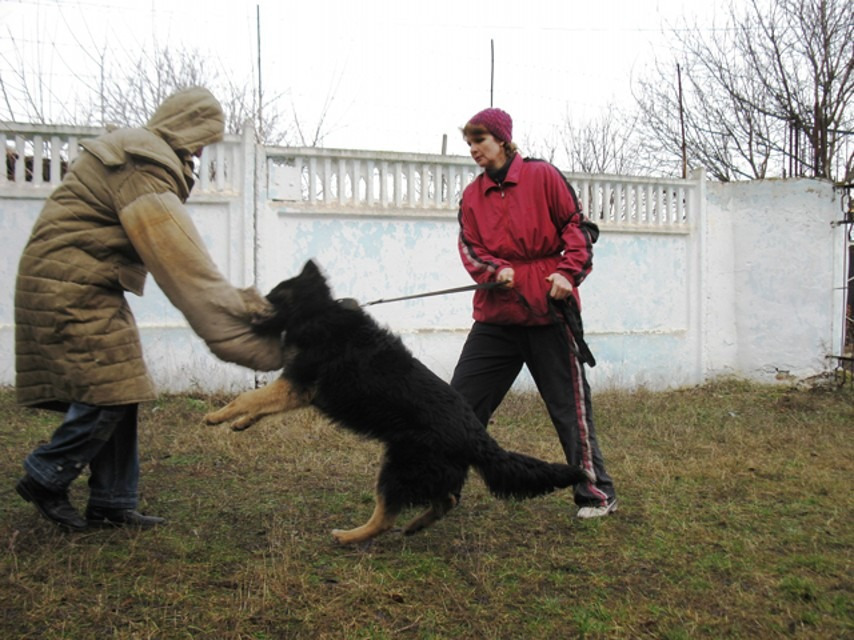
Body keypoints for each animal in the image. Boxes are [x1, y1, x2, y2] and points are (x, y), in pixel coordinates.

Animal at [206, 260, 588, 544]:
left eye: (271, 298)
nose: (242, 312)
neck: (318, 312)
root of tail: (477, 435)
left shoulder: (296, 384)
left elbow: (249, 397)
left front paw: (216, 416)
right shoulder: (296, 389)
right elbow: (259, 405)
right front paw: (239, 423)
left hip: (397, 467)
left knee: (387, 516)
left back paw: (349, 536)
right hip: (423, 469)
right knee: (446, 499)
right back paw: (416, 525)